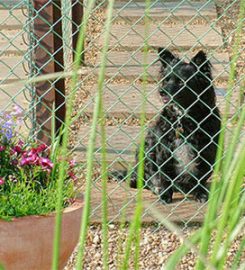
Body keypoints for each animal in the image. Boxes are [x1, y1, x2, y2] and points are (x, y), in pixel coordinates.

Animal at [112, 48, 221, 202]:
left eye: (181, 82)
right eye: (166, 79)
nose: (161, 92)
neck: (183, 118)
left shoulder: (207, 151)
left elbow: (201, 177)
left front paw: (200, 193)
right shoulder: (164, 150)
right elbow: (165, 177)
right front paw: (165, 195)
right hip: (145, 147)